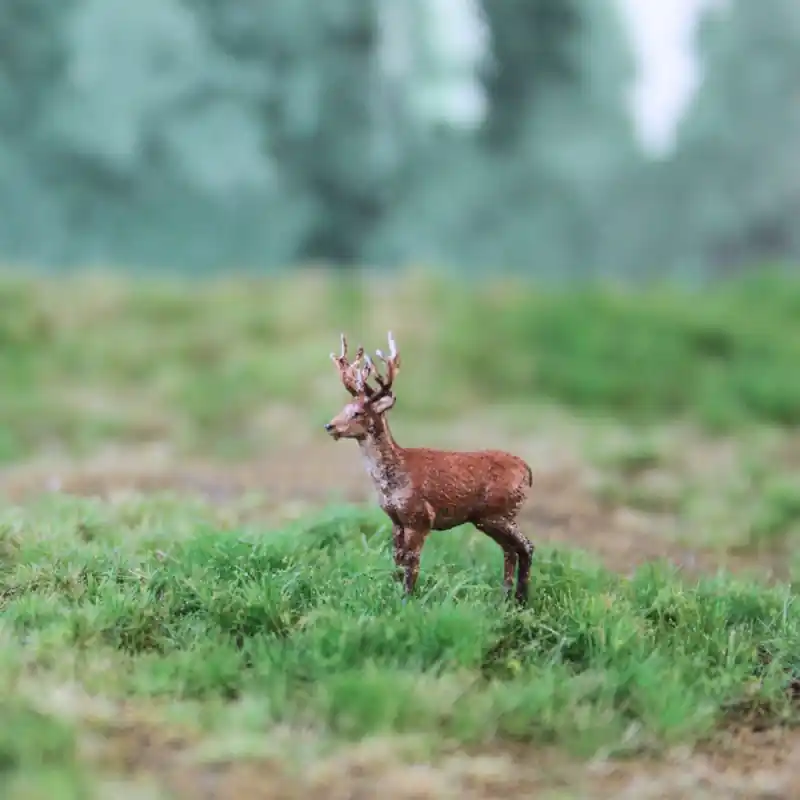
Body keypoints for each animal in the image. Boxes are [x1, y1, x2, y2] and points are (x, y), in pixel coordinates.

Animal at [324, 331, 535, 605]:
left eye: (358, 412)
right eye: (344, 408)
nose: (329, 425)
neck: (394, 477)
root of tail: (528, 470)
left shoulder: (420, 516)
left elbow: (412, 563)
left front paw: (406, 601)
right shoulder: (396, 519)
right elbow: (397, 561)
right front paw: (394, 595)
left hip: (499, 512)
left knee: (525, 546)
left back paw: (520, 600)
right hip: (491, 517)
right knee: (511, 549)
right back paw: (507, 599)